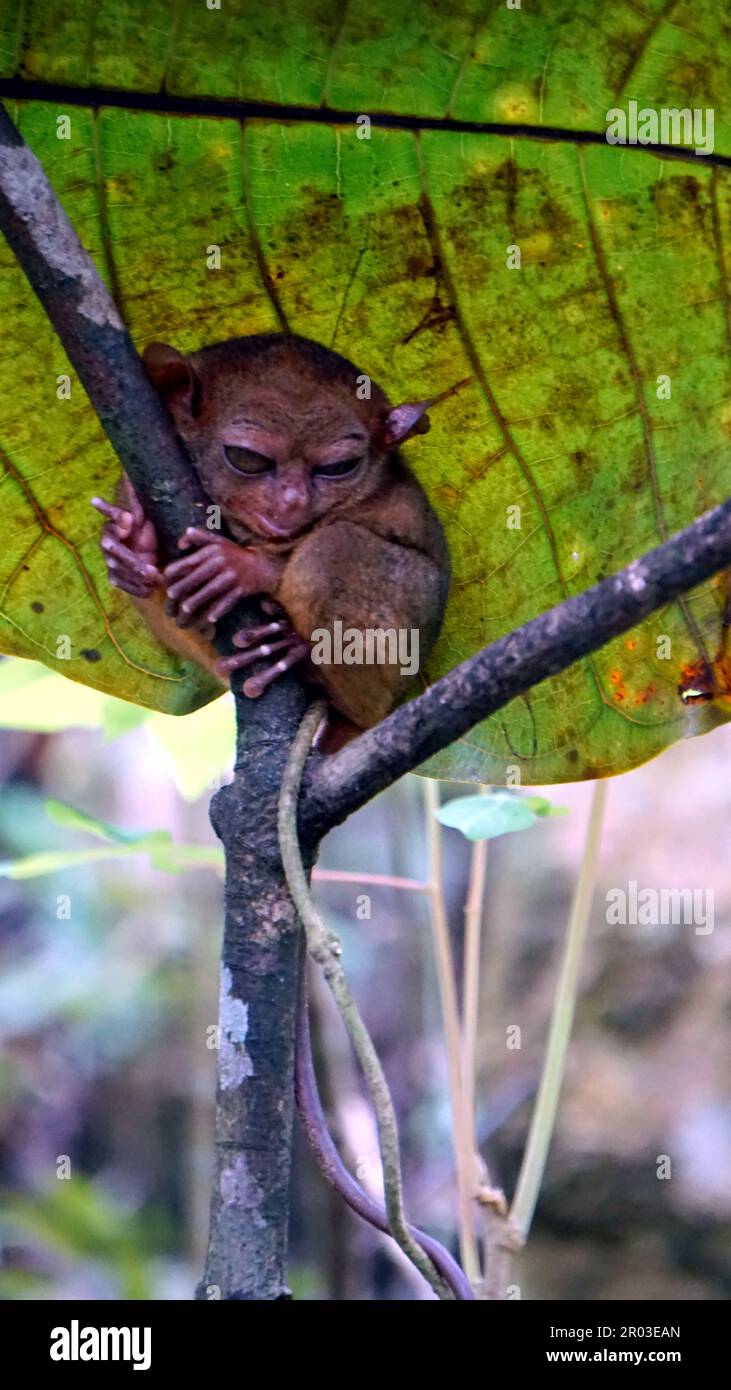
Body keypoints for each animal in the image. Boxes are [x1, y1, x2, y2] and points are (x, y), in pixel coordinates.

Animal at [91, 333, 450, 747]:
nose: (293, 500)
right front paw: (132, 544)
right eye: (247, 459)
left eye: (338, 468)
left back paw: (298, 653)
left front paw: (239, 568)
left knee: (333, 548)